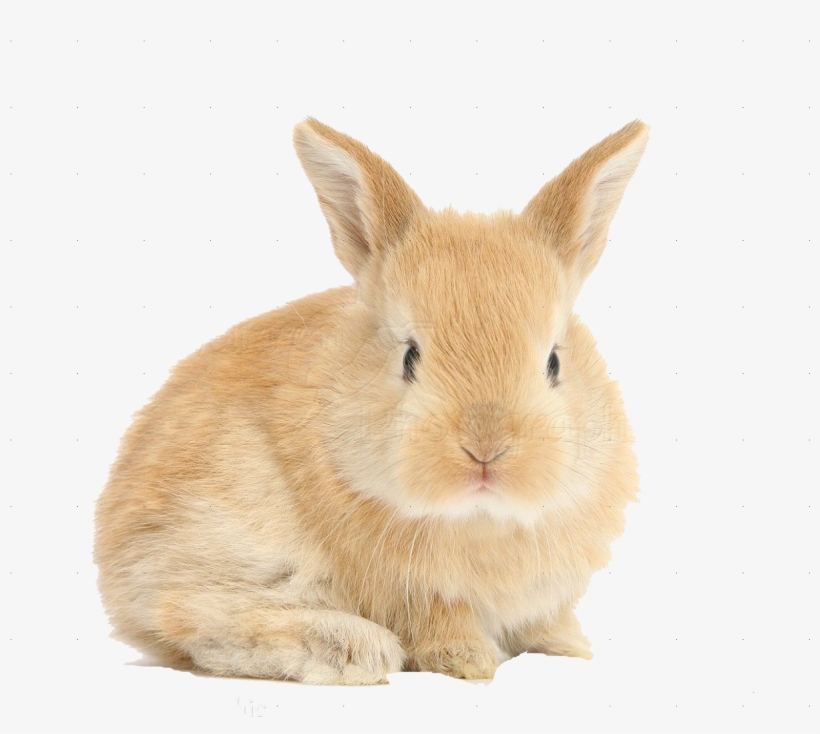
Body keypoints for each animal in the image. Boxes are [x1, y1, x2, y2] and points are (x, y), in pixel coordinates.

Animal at [94, 117, 648, 685]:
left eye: (554, 363)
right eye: (409, 356)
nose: (485, 451)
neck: (479, 519)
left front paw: (570, 649)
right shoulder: (413, 592)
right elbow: (441, 620)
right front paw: (469, 662)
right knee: (190, 617)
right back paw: (353, 648)